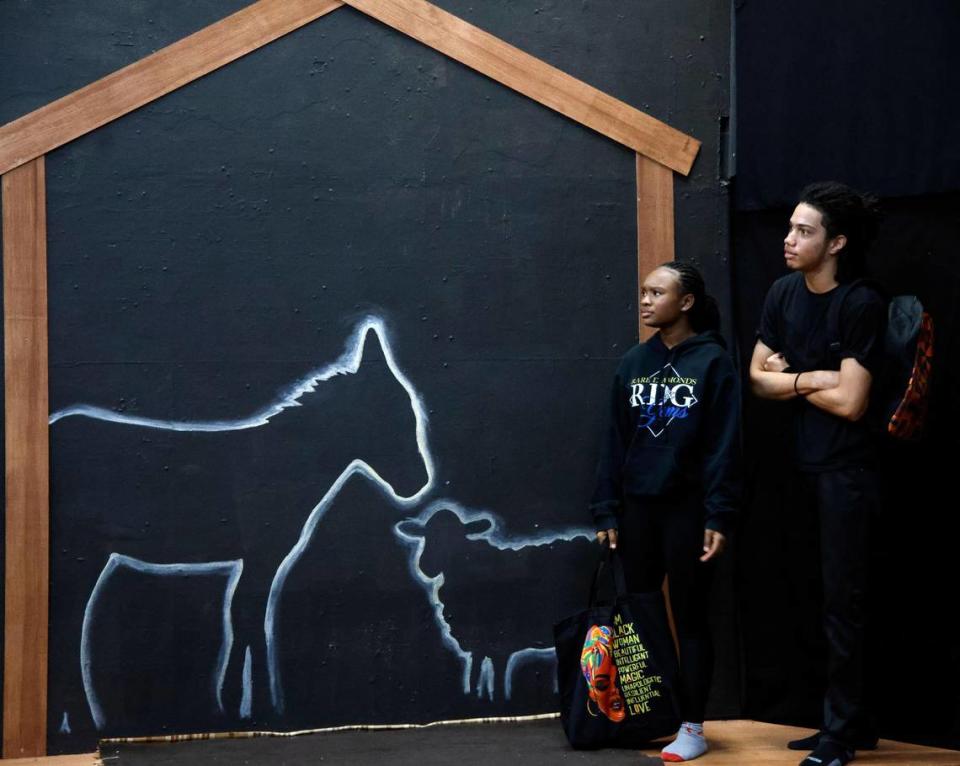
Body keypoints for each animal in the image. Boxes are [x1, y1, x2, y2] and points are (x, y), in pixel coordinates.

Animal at [48, 318, 432, 736]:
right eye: (396, 412)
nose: (420, 484)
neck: (289, 462)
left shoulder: (250, 565)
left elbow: (240, 628)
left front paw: (234, 709)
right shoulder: (262, 560)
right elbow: (251, 628)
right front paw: (259, 711)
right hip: (80, 556)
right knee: (68, 628)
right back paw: (80, 724)